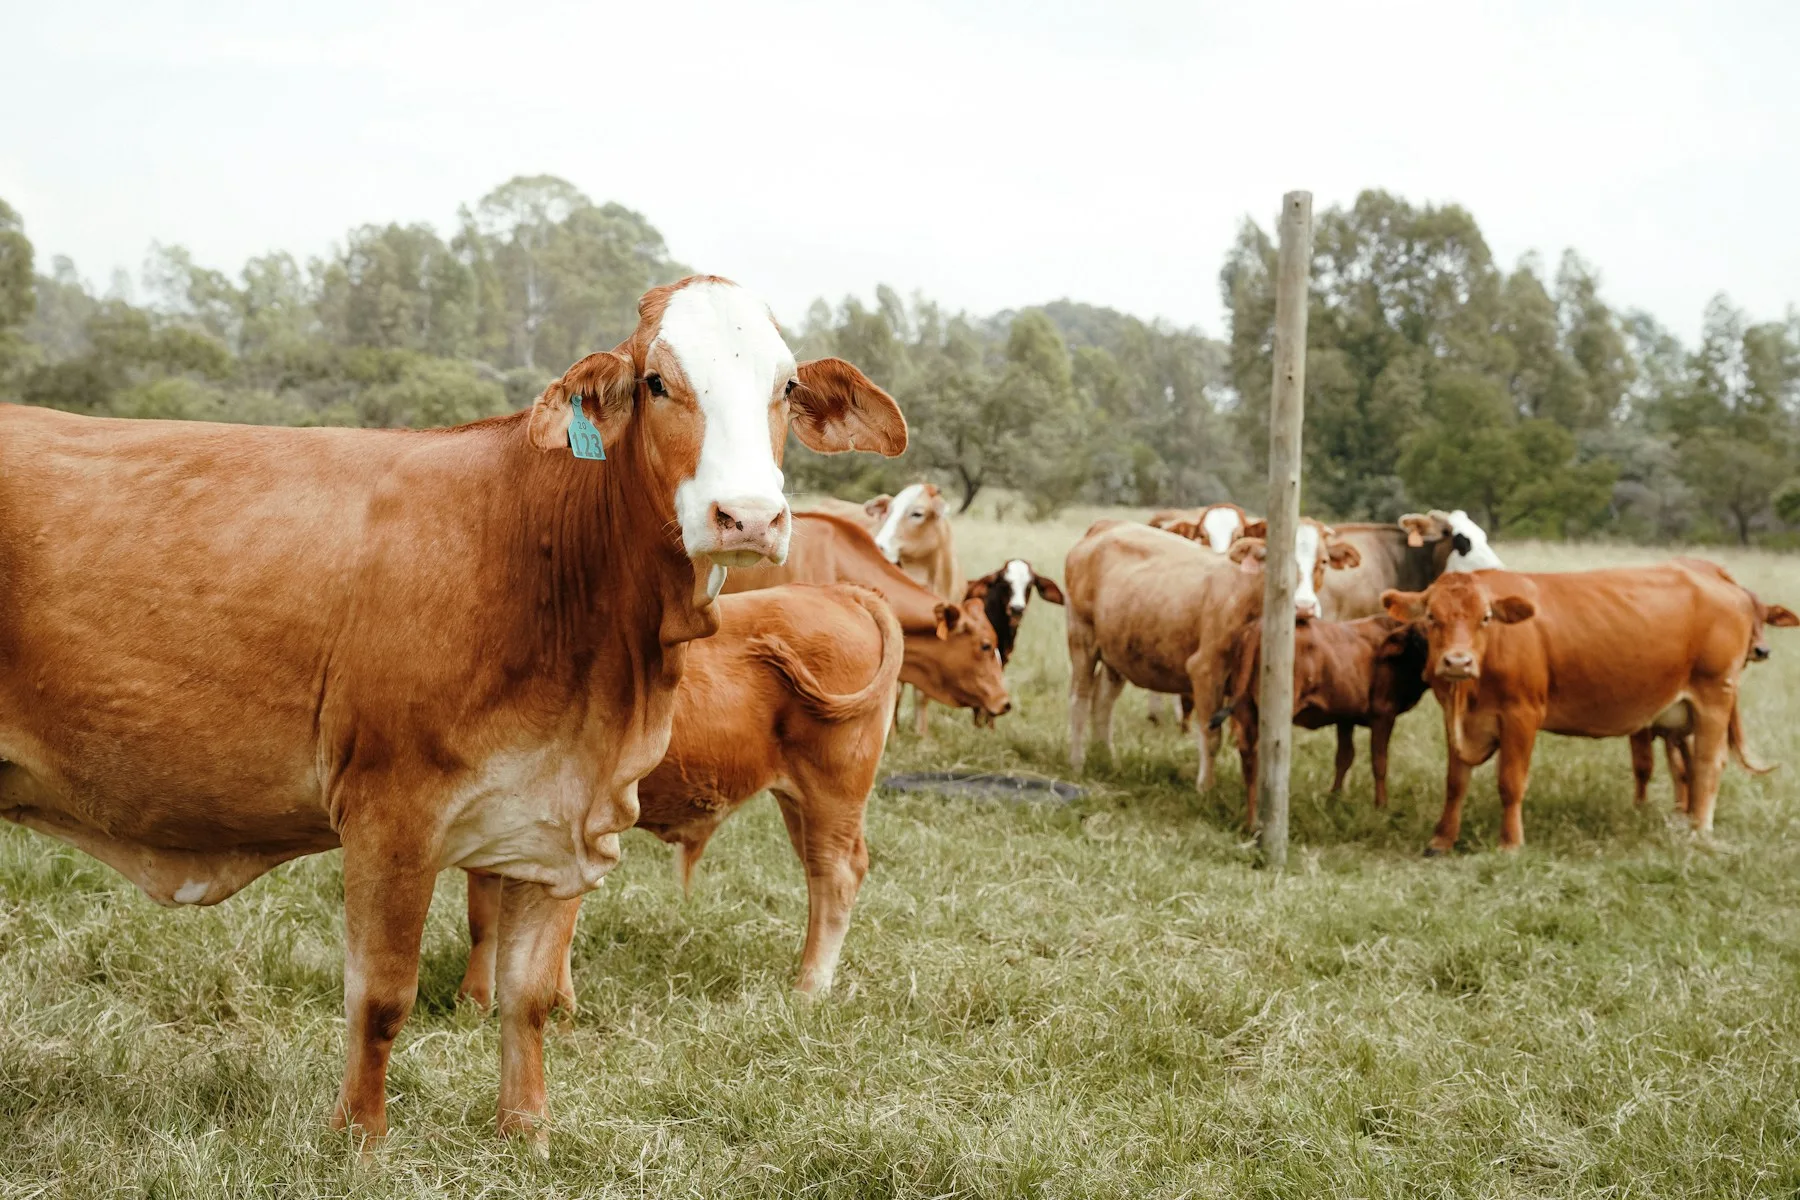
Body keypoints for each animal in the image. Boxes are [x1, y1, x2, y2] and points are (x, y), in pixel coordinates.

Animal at [458, 583, 903, 1005]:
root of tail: (839, 591)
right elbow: (484, 918)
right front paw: (474, 1001)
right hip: (800, 800)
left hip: (834, 790)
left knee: (837, 874)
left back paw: (809, 989)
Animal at [1064, 520, 1360, 793]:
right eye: (1276, 561)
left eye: (1323, 561)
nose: (1304, 607)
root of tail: (1106, 525)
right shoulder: (1206, 669)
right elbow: (1211, 735)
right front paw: (1205, 789)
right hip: (1081, 637)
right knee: (1080, 699)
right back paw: (1077, 763)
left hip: (1117, 651)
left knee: (1102, 701)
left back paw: (1107, 760)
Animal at [1219, 617, 1431, 824]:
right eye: (1418, 641)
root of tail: (1256, 627)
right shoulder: (1383, 715)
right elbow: (1379, 762)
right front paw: (1381, 807)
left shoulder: (1346, 717)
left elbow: (1344, 758)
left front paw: (1333, 800)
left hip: (1245, 708)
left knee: (1247, 754)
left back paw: (1251, 821)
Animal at [1382, 561, 1757, 854]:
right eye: (1432, 617)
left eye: (1486, 618)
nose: (1458, 661)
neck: (1467, 696)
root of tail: (1712, 574)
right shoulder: (1457, 721)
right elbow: (1455, 783)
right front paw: (1442, 840)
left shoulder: (1522, 715)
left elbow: (1510, 782)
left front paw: (1510, 843)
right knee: (1691, 765)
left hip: (1714, 695)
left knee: (1708, 764)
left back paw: (1699, 830)